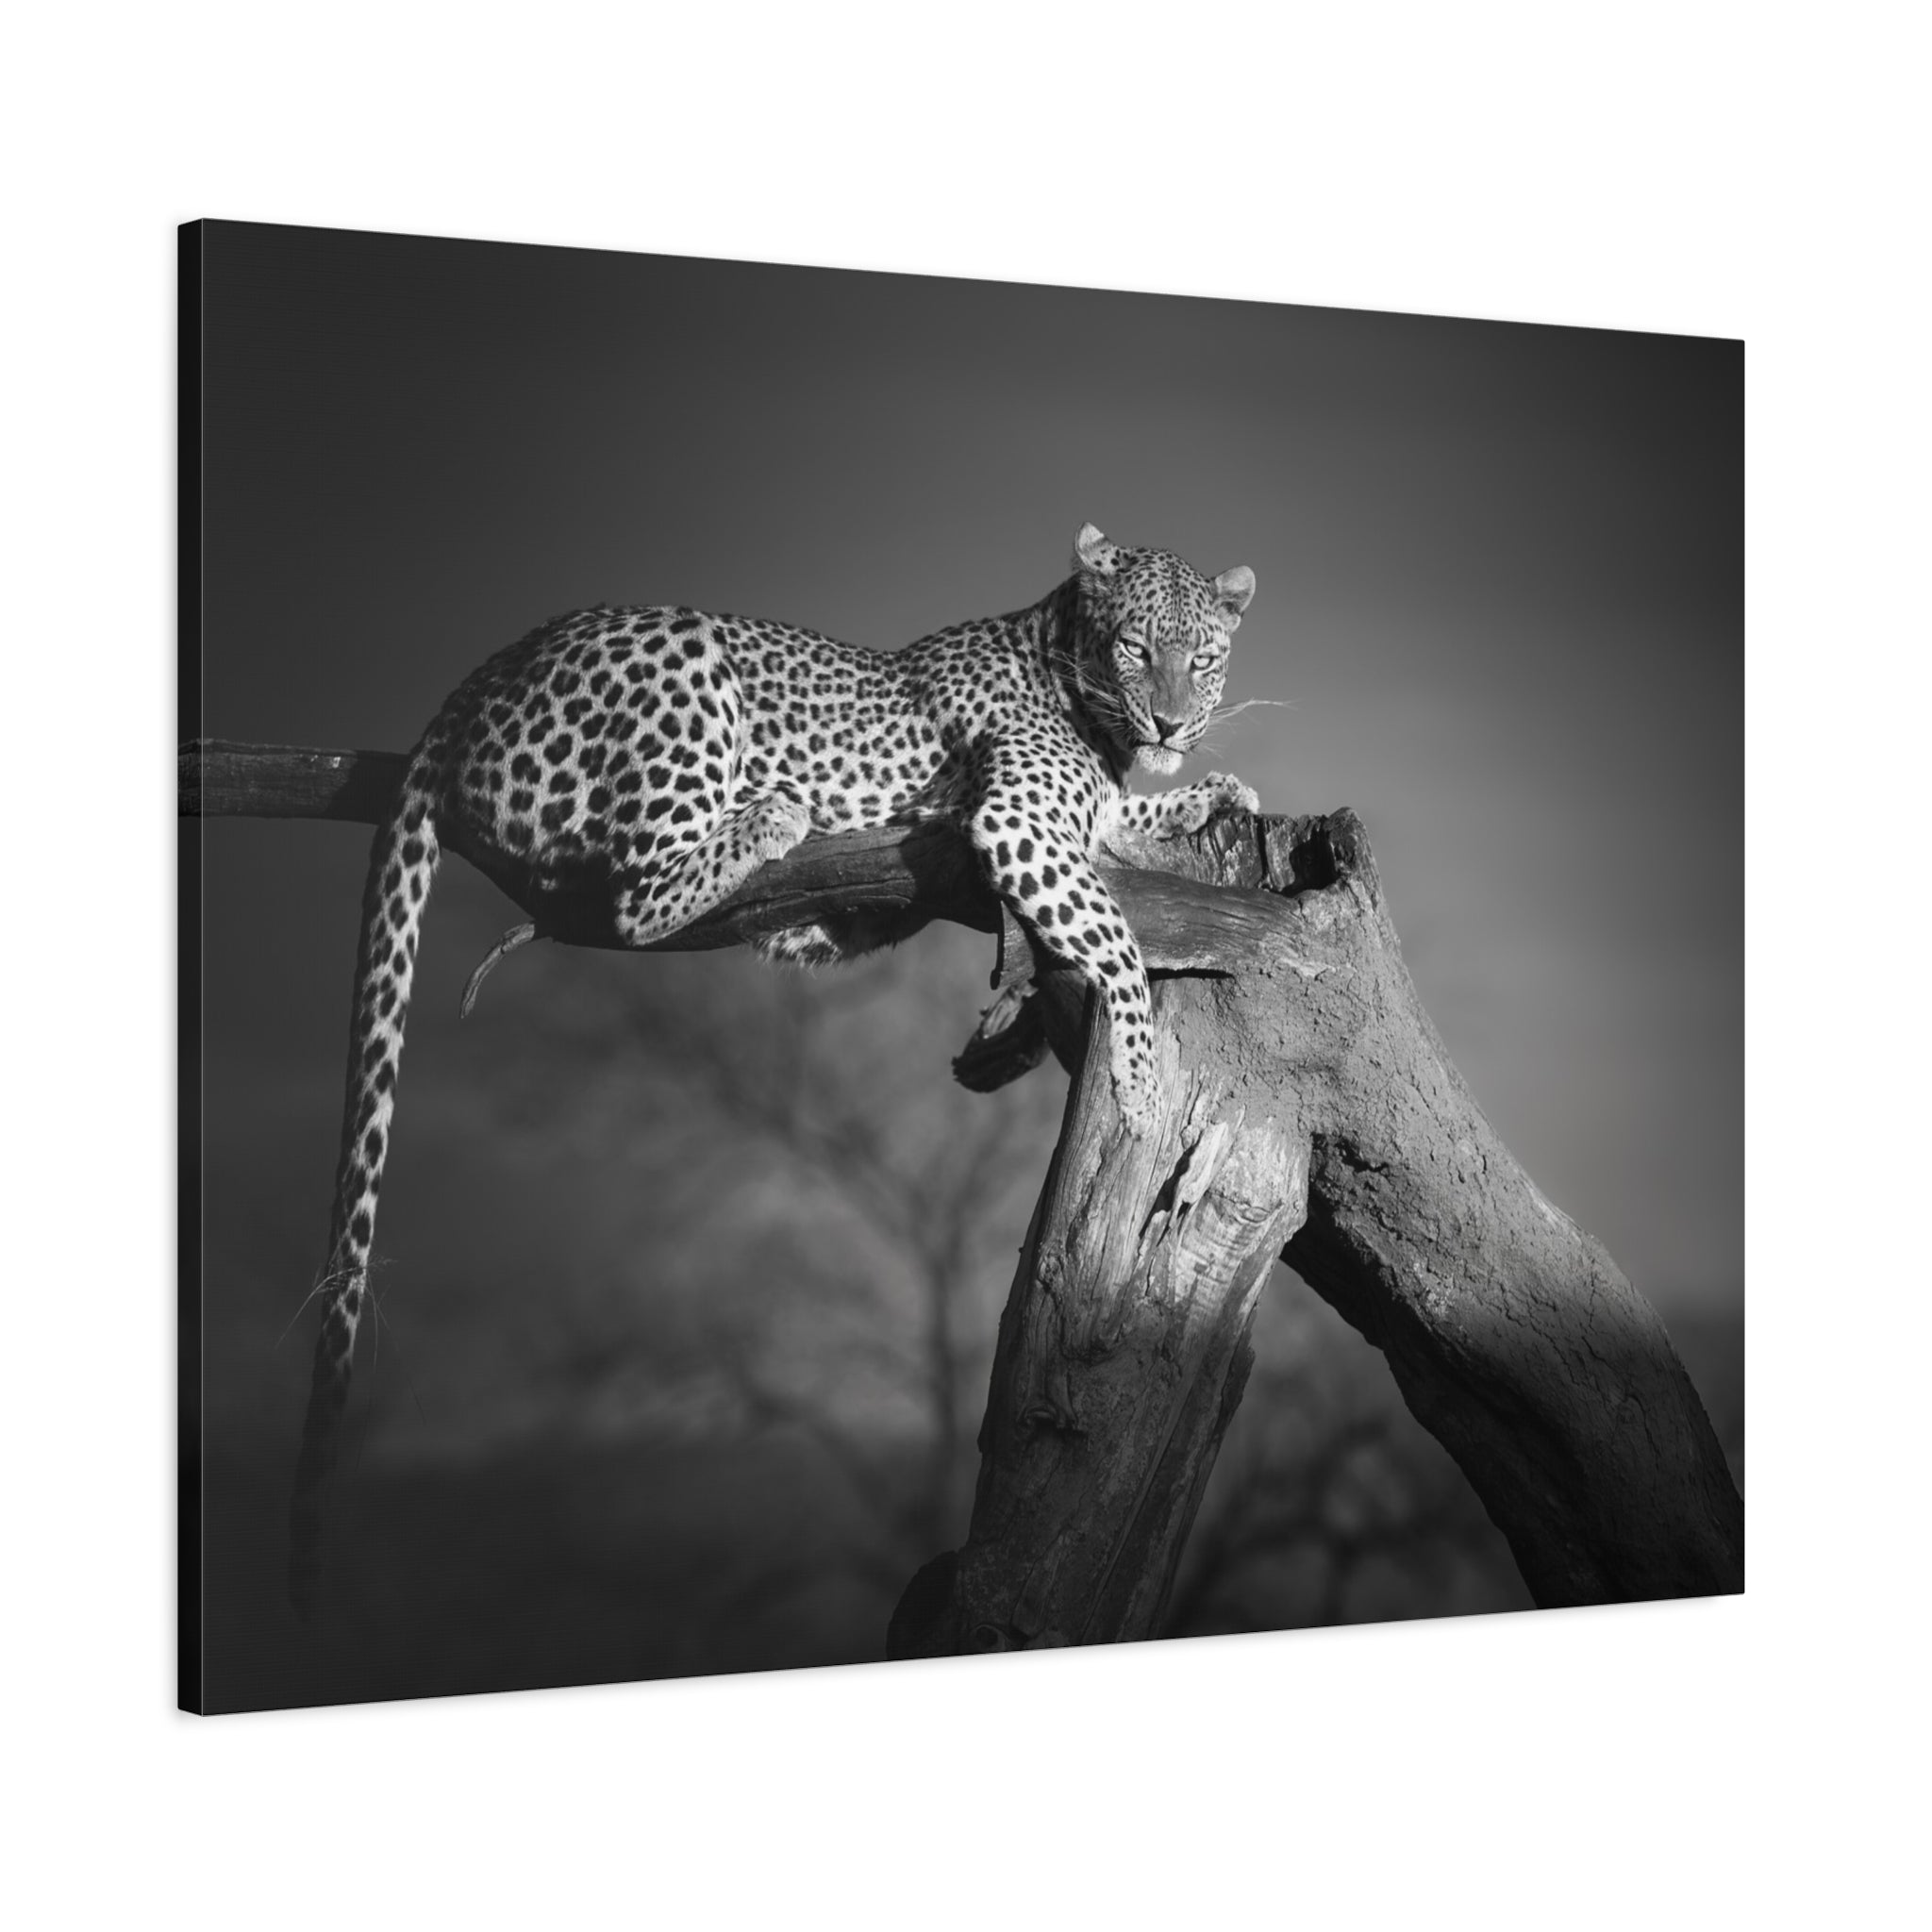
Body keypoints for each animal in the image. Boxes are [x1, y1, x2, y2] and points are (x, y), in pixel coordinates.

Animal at [288, 522, 1259, 1613]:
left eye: (1202, 659)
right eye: (1135, 649)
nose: (1171, 718)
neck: (1076, 682)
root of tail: (473, 682)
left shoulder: (1077, 820)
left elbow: (1129, 823)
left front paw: (1212, 792)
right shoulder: (1018, 823)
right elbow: (1120, 941)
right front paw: (1137, 1076)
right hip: (682, 676)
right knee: (630, 899)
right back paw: (773, 815)